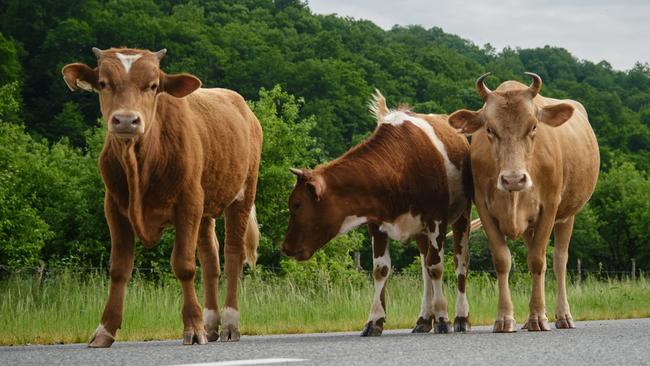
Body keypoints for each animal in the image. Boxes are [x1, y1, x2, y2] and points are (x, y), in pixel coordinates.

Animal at [60, 48, 262, 346]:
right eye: (104, 83)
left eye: (153, 86)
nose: (126, 120)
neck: (141, 163)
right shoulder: (114, 207)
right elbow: (119, 268)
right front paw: (105, 329)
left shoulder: (188, 202)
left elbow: (184, 265)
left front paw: (193, 327)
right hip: (206, 206)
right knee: (211, 259)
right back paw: (211, 323)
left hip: (242, 195)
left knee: (233, 256)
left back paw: (229, 324)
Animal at [280, 90, 474, 336]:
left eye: (296, 204)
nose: (285, 247)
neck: (401, 165)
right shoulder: (377, 224)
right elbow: (381, 270)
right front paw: (374, 321)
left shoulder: (436, 220)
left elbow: (437, 266)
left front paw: (442, 318)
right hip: (421, 231)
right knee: (424, 268)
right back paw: (423, 319)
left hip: (462, 216)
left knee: (460, 263)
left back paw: (461, 317)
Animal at [446, 73, 596, 334]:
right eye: (489, 129)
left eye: (534, 126)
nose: (513, 179)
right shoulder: (484, 209)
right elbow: (502, 260)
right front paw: (505, 318)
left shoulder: (549, 208)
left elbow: (537, 261)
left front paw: (538, 317)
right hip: (530, 225)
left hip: (567, 215)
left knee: (559, 261)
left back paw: (562, 315)